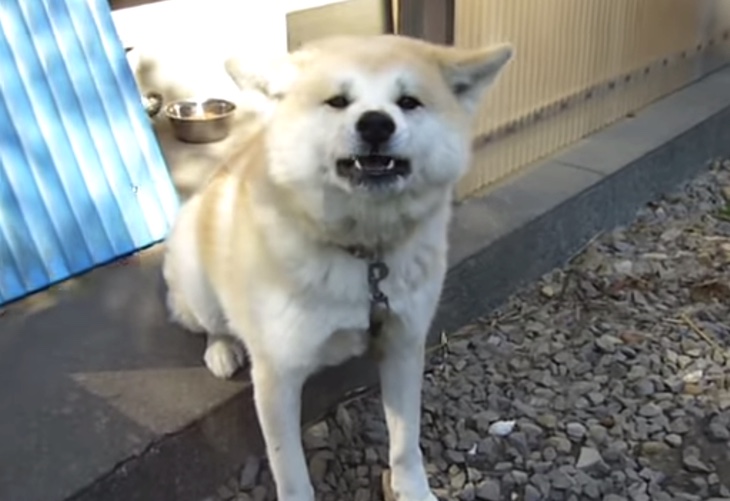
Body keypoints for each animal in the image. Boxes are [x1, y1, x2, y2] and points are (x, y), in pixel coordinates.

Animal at [162, 34, 512, 501]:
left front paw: (413, 490)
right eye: (337, 101)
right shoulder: (277, 374)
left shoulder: (403, 344)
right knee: (210, 322)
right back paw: (221, 348)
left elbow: (406, 445)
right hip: (196, 273)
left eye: (408, 101)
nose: (376, 124)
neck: (364, 255)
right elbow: (290, 472)